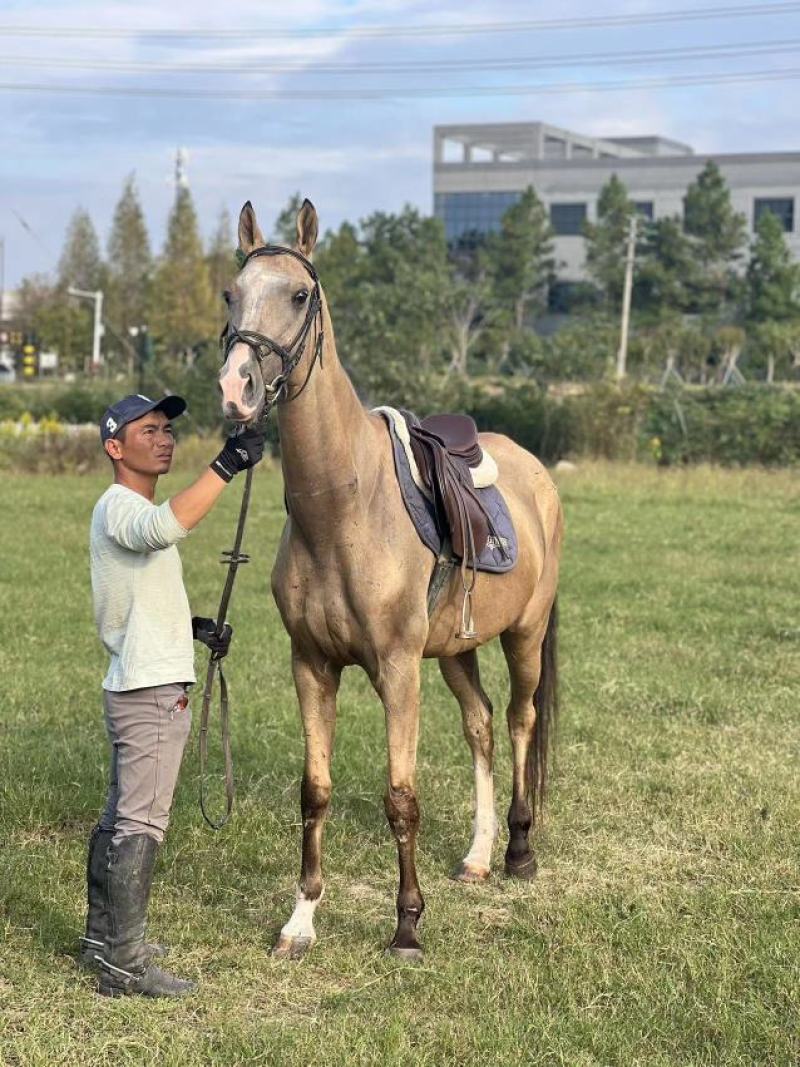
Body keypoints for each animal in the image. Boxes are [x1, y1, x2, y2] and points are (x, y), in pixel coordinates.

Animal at [217, 198, 563, 962]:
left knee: (520, 719)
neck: (343, 508)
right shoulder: (312, 665)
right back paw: (477, 857)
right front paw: (300, 920)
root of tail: (536, 470)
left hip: (523, 634)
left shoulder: (397, 668)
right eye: (231, 294)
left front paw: (407, 925)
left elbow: (401, 796)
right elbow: (314, 790)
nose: (236, 388)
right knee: (481, 723)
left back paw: (520, 851)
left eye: (299, 295)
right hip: (457, 649)